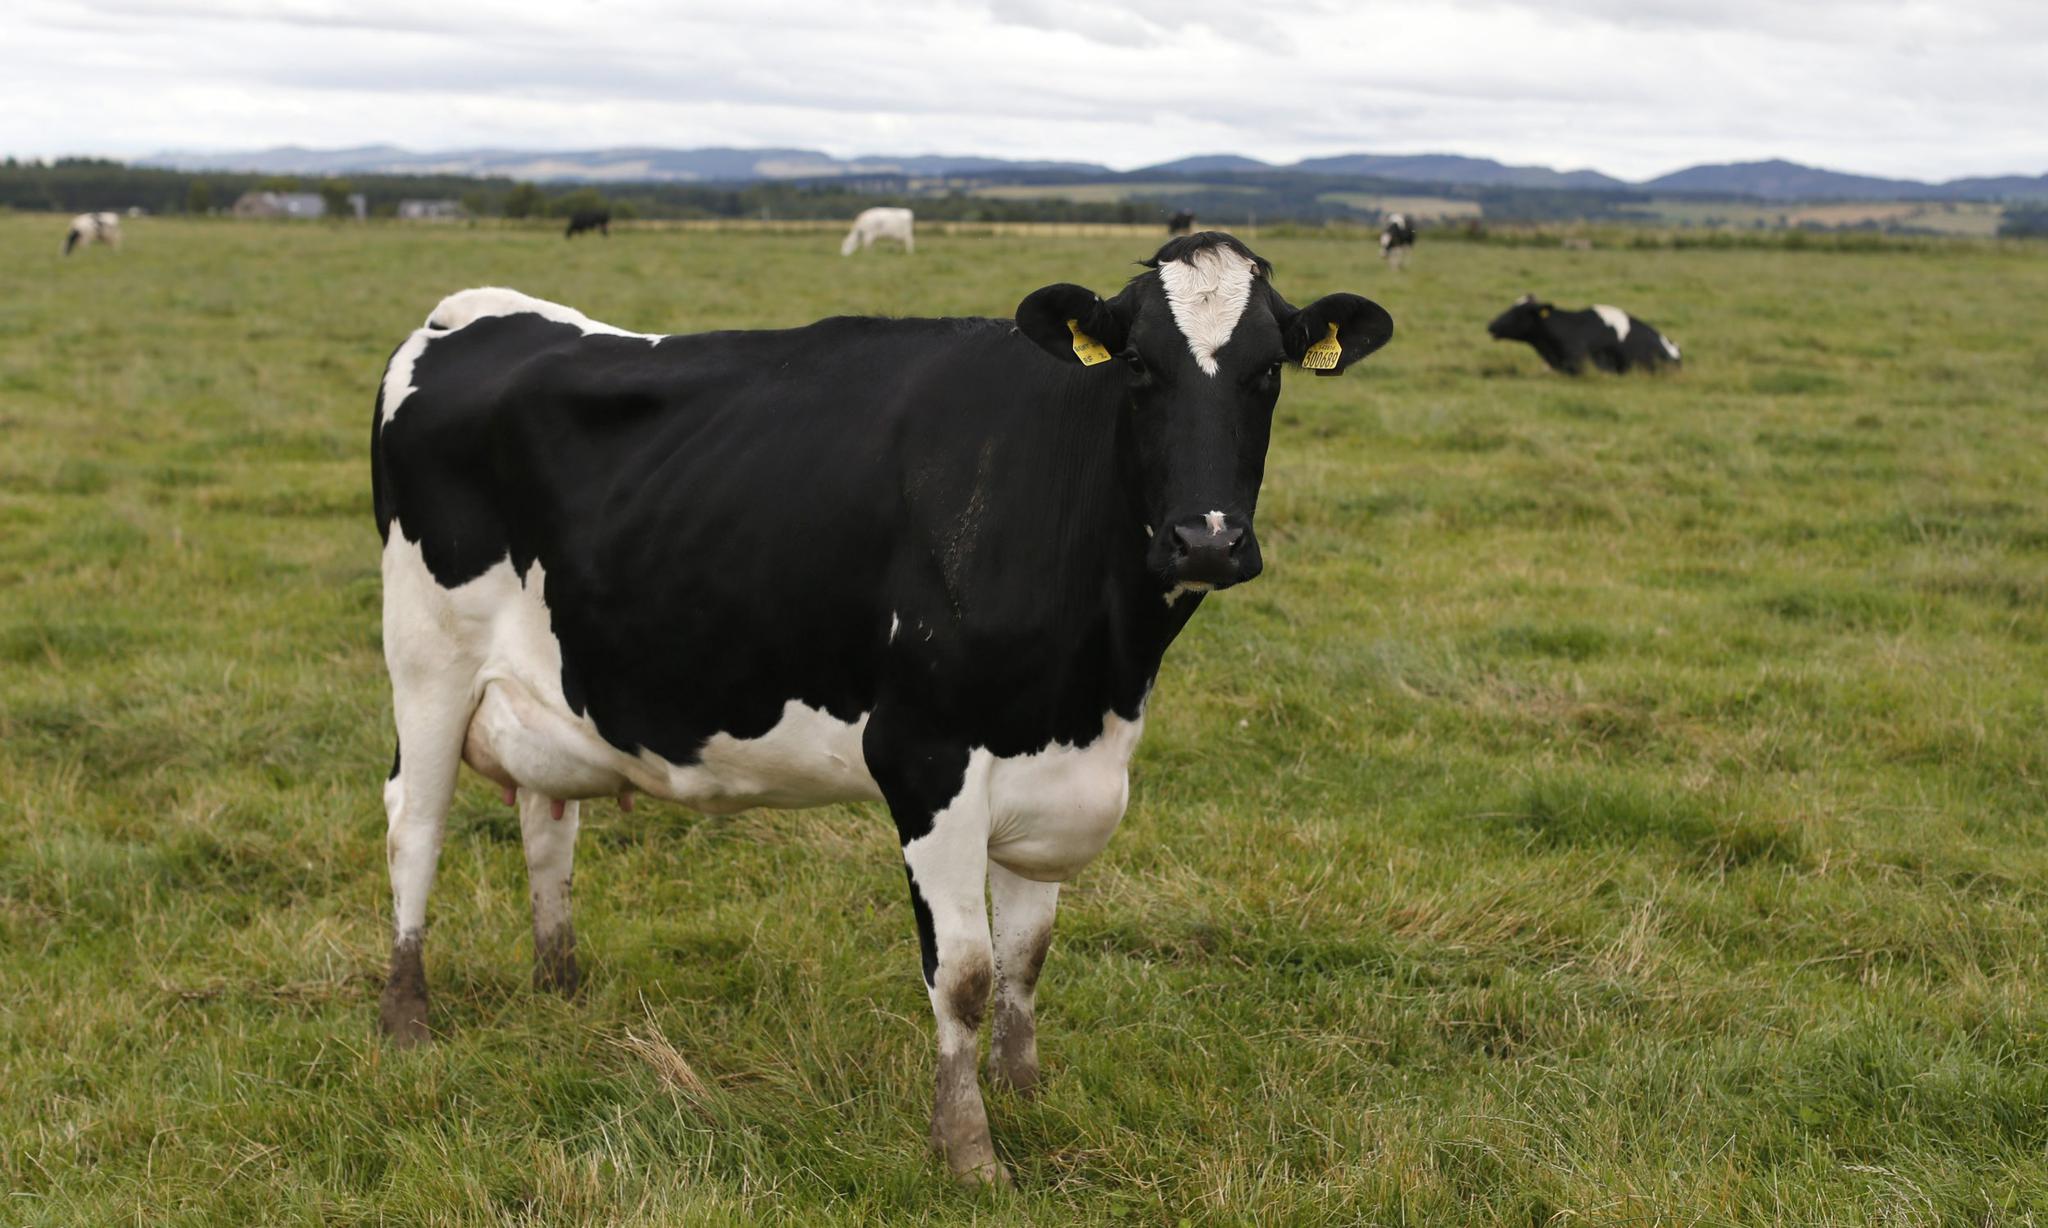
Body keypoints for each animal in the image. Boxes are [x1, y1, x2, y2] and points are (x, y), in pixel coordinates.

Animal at [372, 228, 1392, 1178]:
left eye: (1269, 370)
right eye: (1139, 364)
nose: (1206, 540)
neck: (1101, 677)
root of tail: (472, 312)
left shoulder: (1054, 764)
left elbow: (1027, 957)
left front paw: (1024, 1093)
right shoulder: (926, 755)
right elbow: (967, 973)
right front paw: (970, 1150)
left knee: (547, 824)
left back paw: (561, 983)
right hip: (425, 659)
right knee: (413, 824)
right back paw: (407, 1018)